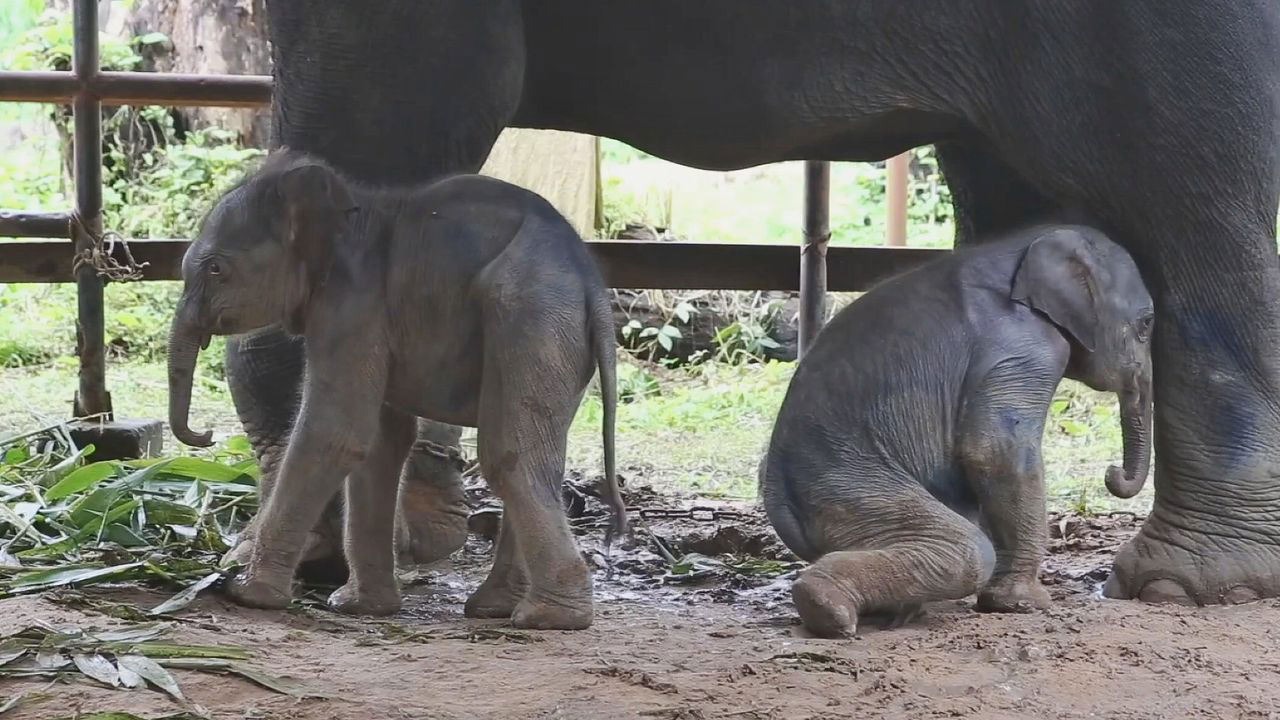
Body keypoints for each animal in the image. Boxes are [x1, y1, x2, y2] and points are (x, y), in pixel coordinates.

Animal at [165, 149, 624, 627]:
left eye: (216, 268)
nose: (204, 436)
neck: (351, 207)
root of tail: (592, 282)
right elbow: (380, 443)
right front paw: (358, 607)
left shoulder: (353, 306)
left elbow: (335, 433)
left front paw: (247, 595)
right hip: (560, 341)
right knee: (540, 454)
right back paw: (495, 608)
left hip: (532, 319)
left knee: (511, 454)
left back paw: (547, 618)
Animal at [762, 222, 1157, 632]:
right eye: (1147, 324)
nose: (1112, 474)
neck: (1022, 247)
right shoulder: (1024, 349)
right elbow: (996, 452)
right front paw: (1023, 604)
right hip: (847, 486)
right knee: (968, 551)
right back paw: (828, 608)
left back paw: (899, 612)